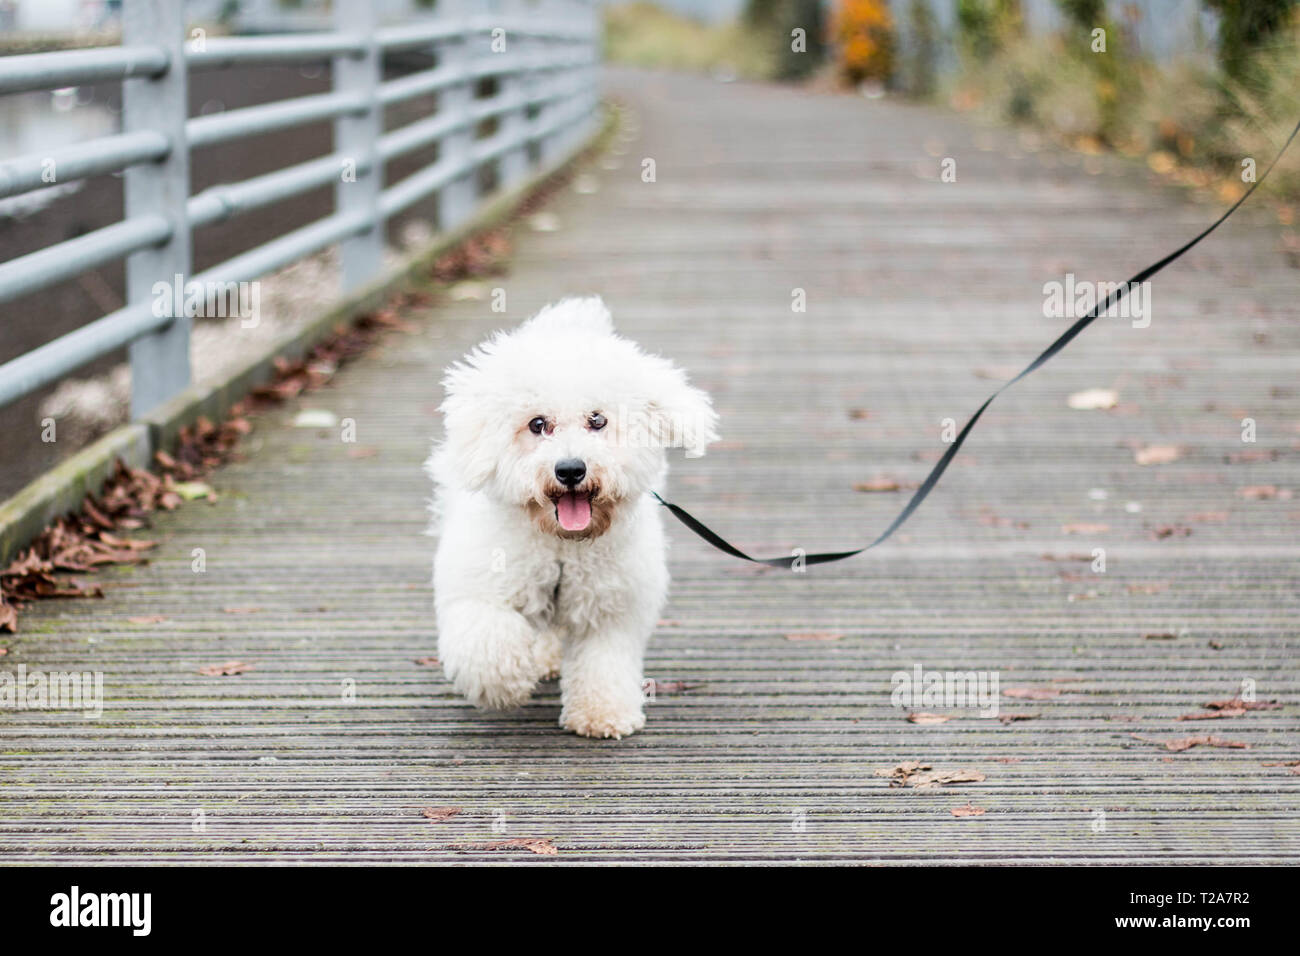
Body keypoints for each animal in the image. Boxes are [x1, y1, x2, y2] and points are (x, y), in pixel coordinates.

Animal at [426, 299, 717, 738]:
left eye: (598, 420)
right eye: (537, 424)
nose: (570, 469)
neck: (563, 546)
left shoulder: (611, 607)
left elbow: (604, 662)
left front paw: (602, 713)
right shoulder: (480, 587)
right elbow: (489, 643)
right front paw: (507, 684)